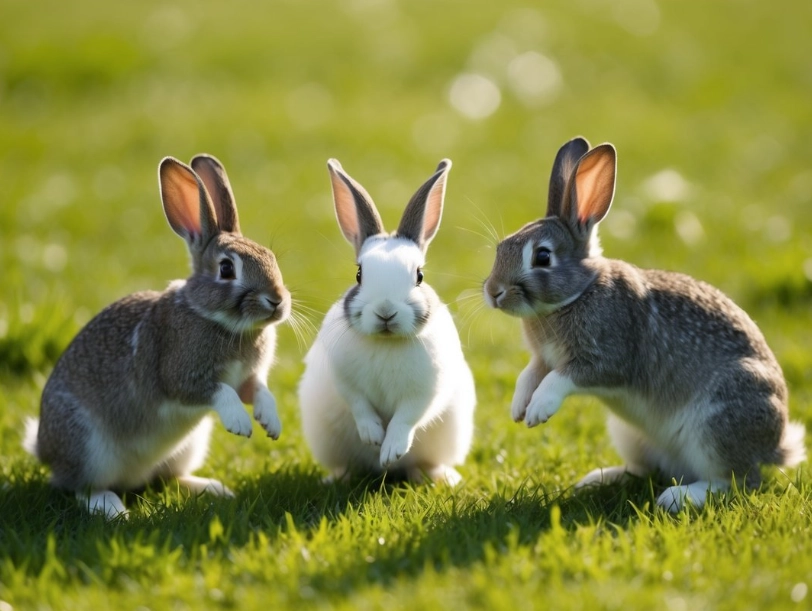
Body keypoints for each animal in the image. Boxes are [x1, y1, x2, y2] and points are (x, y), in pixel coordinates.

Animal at [23, 154, 291, 519]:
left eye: (271, 257)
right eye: (226, 269)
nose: (277, 300)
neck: (221, 320)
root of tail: (44, 449)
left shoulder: (248, 377)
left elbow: (259, 390)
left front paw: (271, 423)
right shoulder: (179, 374)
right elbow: (217, 391)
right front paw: (240, 424)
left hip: (188, 447)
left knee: (167, 477)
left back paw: (214, 489)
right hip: (86, 445)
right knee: (81, 487)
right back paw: (113, 510)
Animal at [298, 158, 476, 485]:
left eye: (419, 276)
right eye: (358, 275)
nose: (385, 312)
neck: (385, 342)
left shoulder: (425, 391)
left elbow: (406, 417)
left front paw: (391, 449)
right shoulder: (345, 380)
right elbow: (359, 405)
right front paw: (372, 436)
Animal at [483, 136, 807, 512]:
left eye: (542, 256)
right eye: (502, 246)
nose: (493, 292)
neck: (579, 293)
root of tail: (775, 448)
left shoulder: (608, 358)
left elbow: (559, 379)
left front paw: (537, 410)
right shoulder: (543, 358)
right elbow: (529, 375)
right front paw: (519, 407)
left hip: (718, 424)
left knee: (737, 481)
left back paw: (678, 497)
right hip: (630, 435)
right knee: (646, 469)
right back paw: (597, 478)